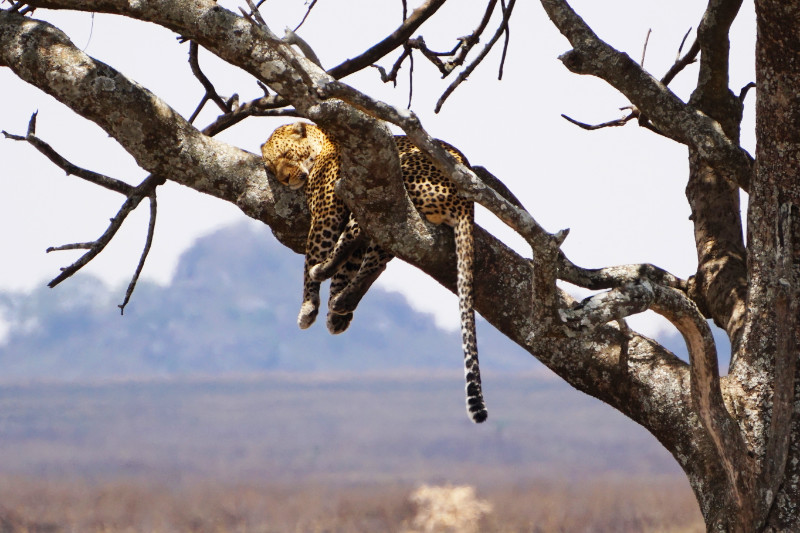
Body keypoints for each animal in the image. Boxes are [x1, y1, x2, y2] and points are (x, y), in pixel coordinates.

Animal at [261, 122, 487, 423]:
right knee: (377, 259)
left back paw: (325, 275)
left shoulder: (326, 215)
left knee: (358, 233)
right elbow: (346, 270)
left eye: (286, 154)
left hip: (389, 188)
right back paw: (343, 301)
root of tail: (466, 203)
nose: (284, 179)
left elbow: (311, 261)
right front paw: (336, 314)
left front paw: (308, 306)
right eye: (271, 167)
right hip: (393, 220)